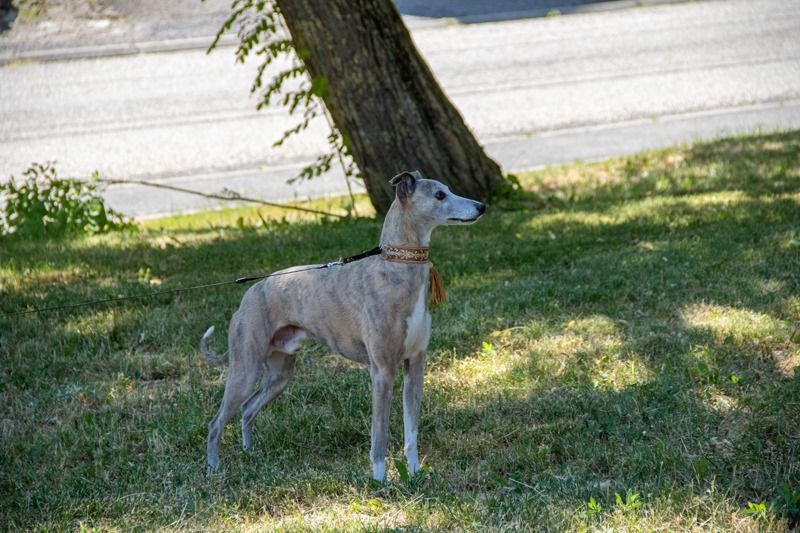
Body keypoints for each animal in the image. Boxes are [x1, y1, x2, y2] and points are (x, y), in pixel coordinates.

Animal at [200, 169, 488, 478]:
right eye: (439, 195)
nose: (481, 206)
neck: (396, 271)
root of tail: (250, 294)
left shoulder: (415, 365)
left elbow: (411, 431)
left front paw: (414, 474)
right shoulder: (382, 371)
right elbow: (379, 435)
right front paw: (380, 481)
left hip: (279, 374)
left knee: (247, 408)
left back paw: (249, 452)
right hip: (245, 368)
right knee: (216, 422)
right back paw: (214, 468)